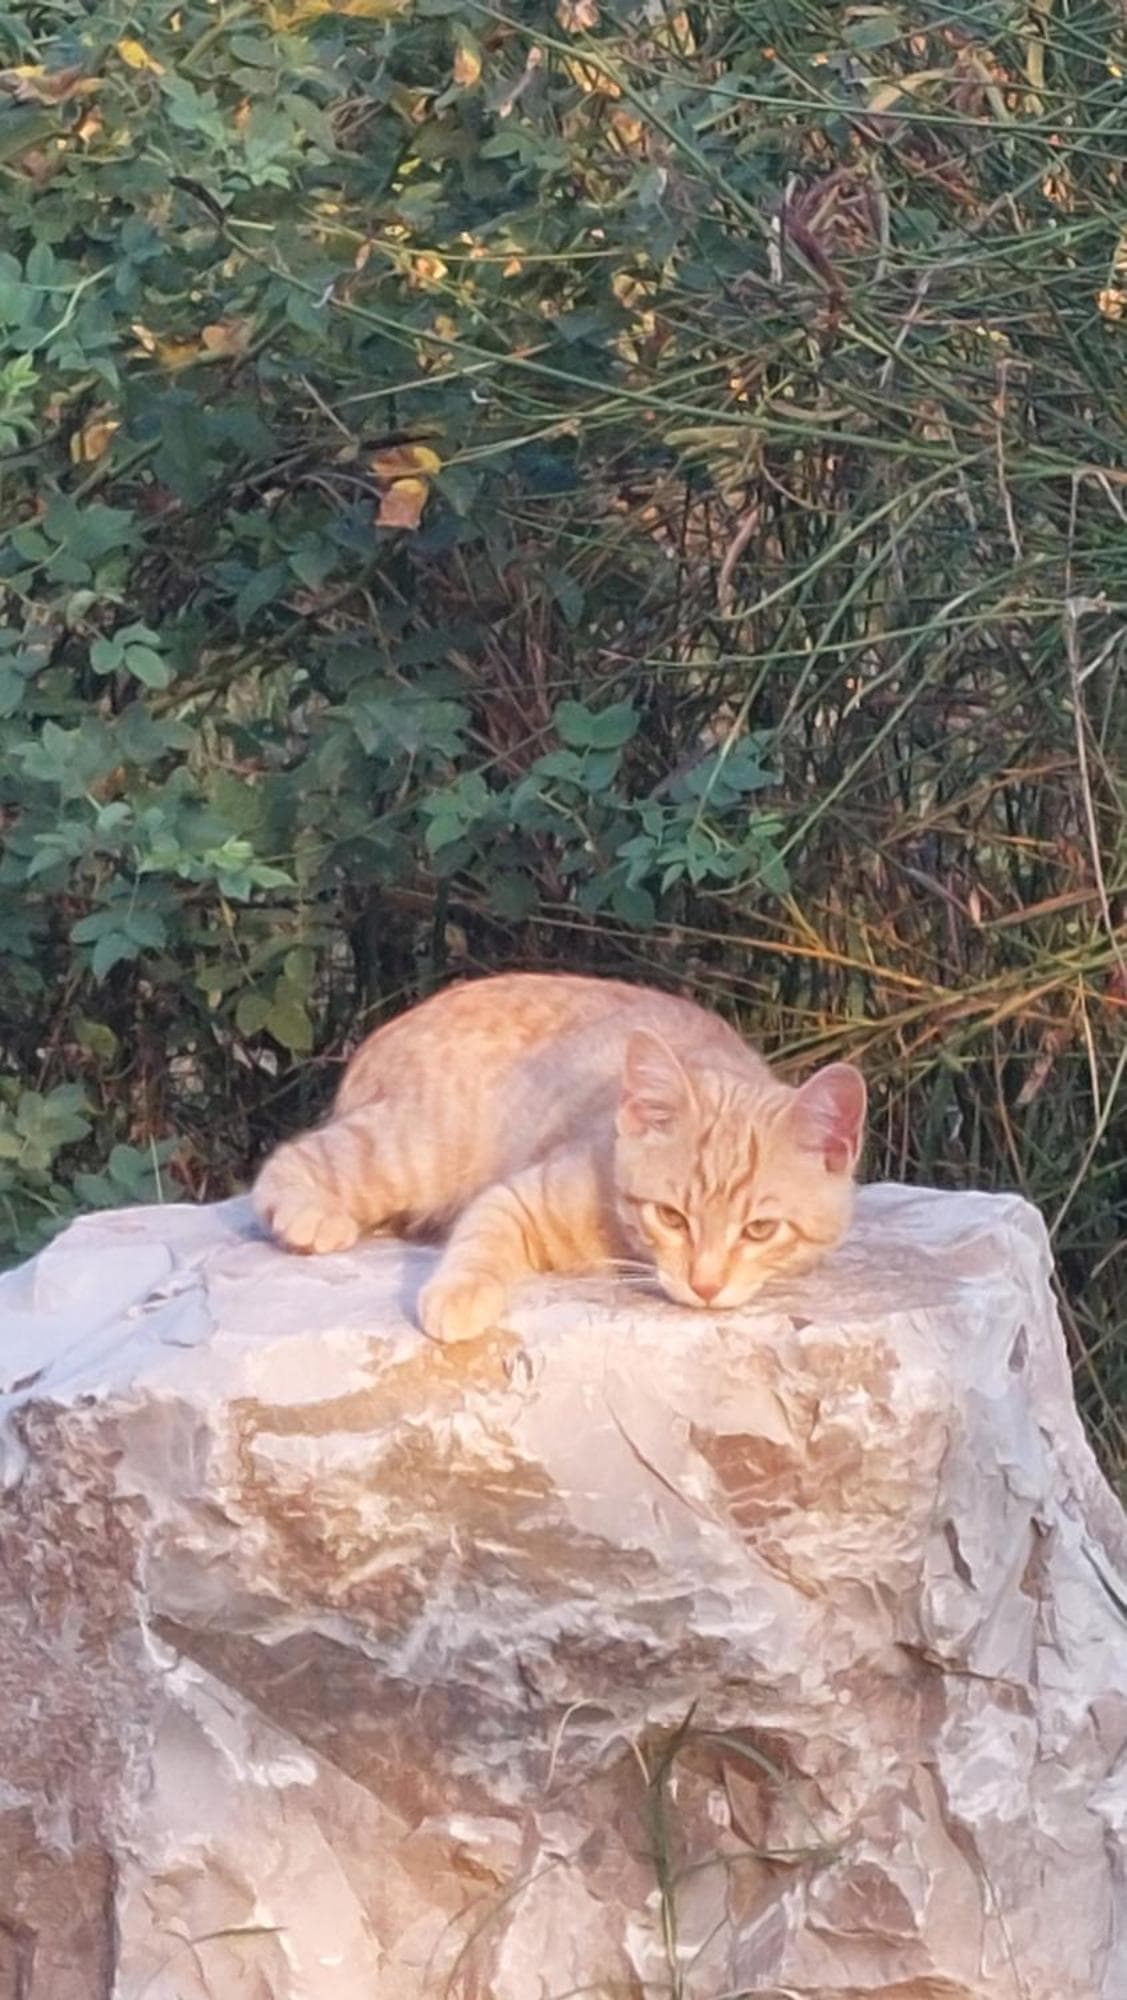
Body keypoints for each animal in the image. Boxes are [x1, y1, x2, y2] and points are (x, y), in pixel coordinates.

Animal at [253, 972, 866, 1343]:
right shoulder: (515, 1194)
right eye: (671, 1217)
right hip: (413, 1148)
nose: (705, 1285)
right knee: (290, 1162)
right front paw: (459, 1294)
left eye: (760, 1229)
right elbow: (480, 1240)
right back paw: (310, 1217)